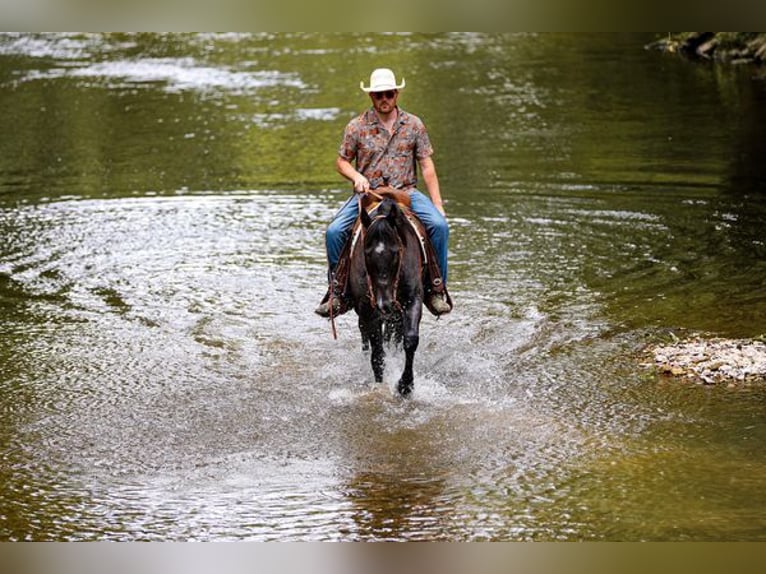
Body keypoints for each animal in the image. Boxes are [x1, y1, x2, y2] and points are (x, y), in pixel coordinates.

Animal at [350, 198, 426, 396]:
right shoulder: (367, 308)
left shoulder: (413, 299)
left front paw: (405, 385)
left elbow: (410, 340)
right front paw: (380, 385)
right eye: (367, 253)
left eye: (396, 251)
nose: (384, 304)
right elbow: (377, 354)